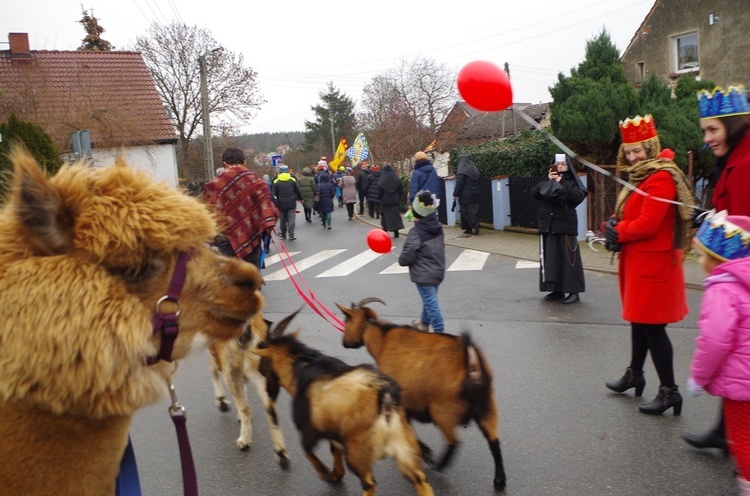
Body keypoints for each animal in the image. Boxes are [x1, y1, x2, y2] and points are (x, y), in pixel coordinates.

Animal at [254, 312, 434, 494]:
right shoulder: (333, 431)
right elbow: (334, 450)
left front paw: (324, 472)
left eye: (262, 364)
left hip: (357, 452)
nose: (268, 392)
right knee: (419, 478)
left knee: (369, 482)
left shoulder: (309, 429)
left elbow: (307, 450)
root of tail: (386, 398)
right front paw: (336, 475)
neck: (301, 367)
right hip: (404, 446)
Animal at [340, 296, 512, 490]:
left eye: (347, 320)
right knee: (494, 441)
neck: (382, 339)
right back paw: (499, 480)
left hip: (443, 410)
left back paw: (439, 465)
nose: (344, 342)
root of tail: (471, 364)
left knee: (454, 441)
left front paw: (426, 454)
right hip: (487, 405)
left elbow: (409, 430)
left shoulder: (400, 401)